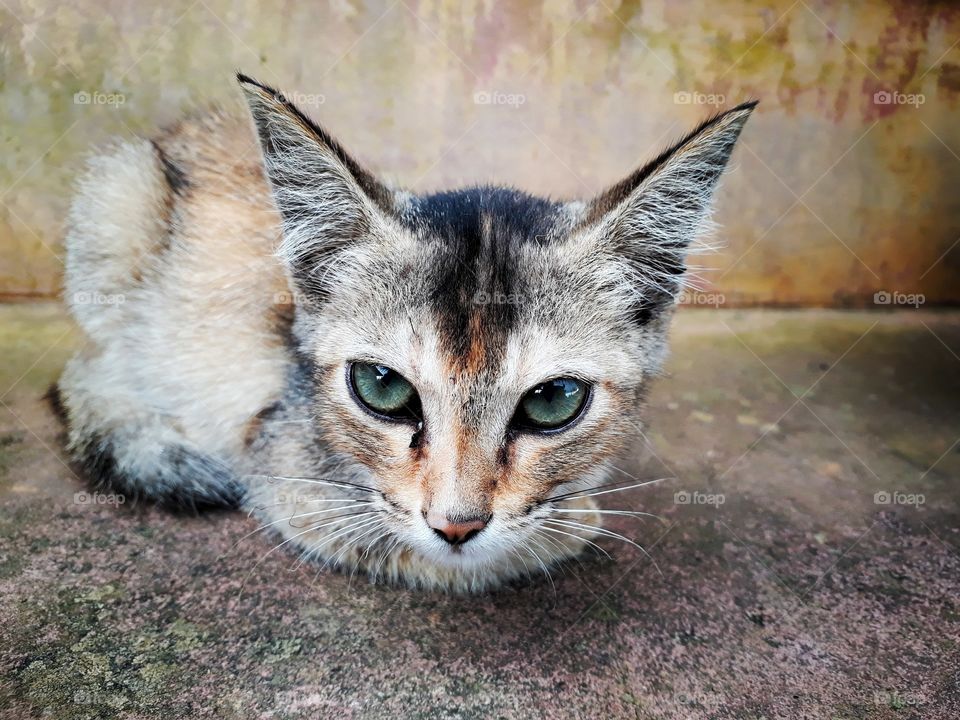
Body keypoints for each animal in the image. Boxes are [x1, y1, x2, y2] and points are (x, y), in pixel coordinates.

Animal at [56, 74, 752, 592]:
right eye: (382, 387)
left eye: (554, 401)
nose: (457, 526)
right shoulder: (284, 468)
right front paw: (571, 520)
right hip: (119, 205)